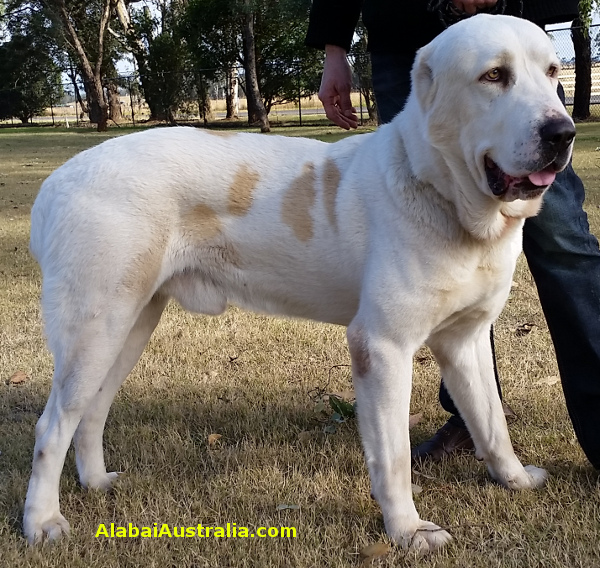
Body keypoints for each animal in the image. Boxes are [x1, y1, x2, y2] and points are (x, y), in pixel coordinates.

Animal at [24, 15, 576, 552]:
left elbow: (492, 421)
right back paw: (42, 521)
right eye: (493, 76)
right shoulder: (382, 347)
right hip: (96, 329)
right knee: (52, 426)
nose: (562, 132)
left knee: (90, 412)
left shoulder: (465, 341)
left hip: (130, 325)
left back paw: (95, 482)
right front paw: (407, 531)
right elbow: (394, 456)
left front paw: (513, 480)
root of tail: (56, 182)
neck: (440, 191)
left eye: (552, 72)